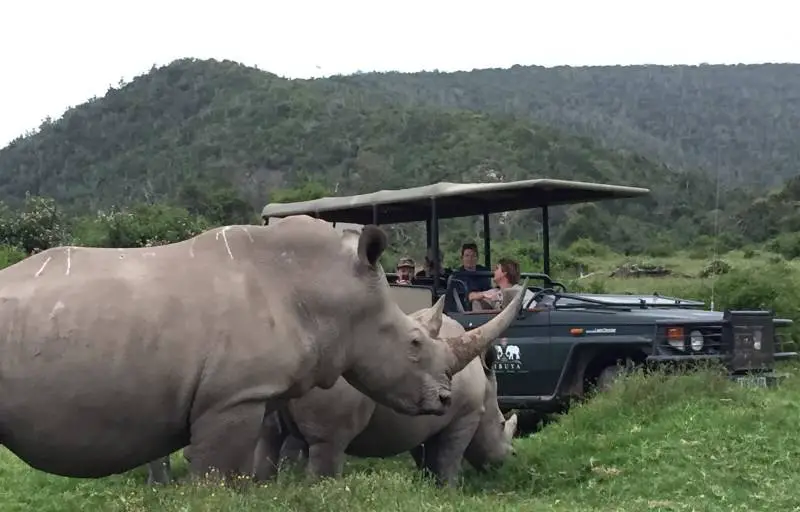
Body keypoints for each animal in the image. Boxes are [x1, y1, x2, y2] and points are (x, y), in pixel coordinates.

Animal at [253, 312, 520, 488]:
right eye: (501, 425)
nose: (507, 459)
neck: (486, 389)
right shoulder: (465, 415)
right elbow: (448, 459)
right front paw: (449, 492)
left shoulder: (424, 415)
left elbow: (426, 456)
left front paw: (428, 489)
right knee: (328, 443)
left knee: (268, 438)